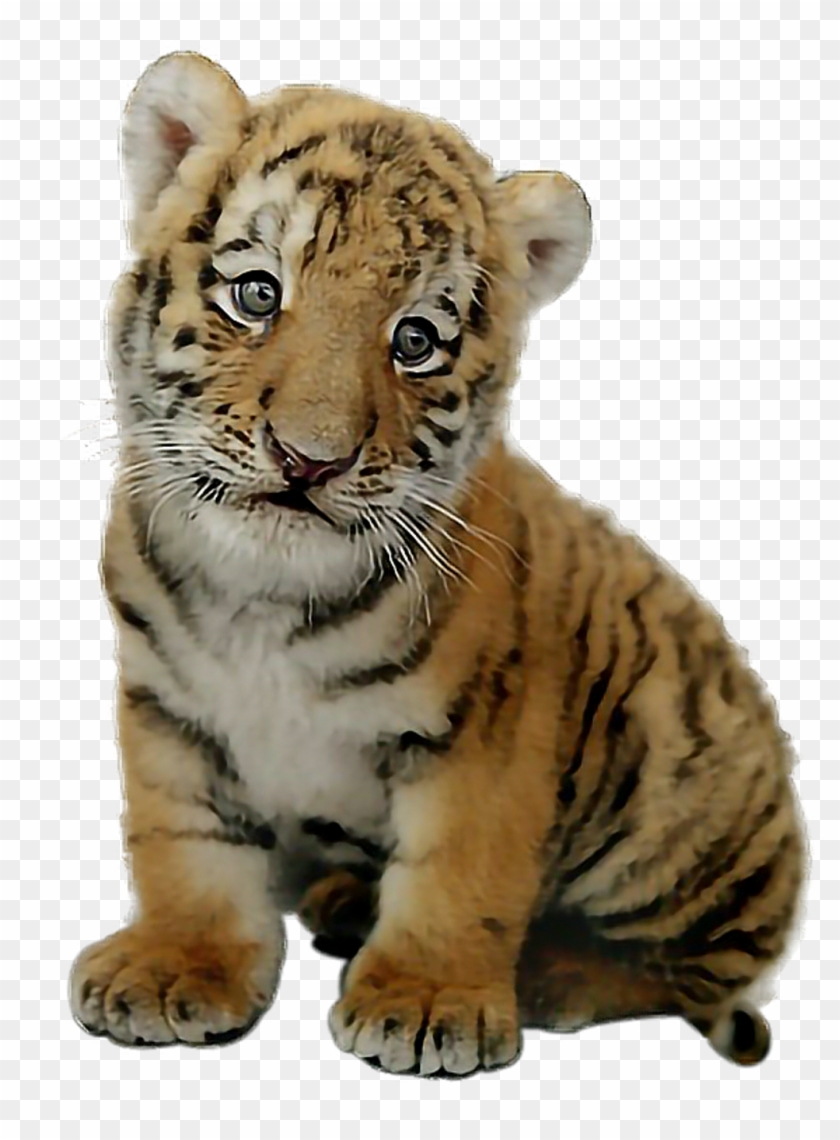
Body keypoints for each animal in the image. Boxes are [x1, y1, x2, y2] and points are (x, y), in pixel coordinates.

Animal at [69, 52, 805, 1074]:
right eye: (257, 294)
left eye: (414, 342)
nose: (309, 461)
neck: (267, 603)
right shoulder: (167, 706)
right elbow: (184, 843)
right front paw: (178, 963)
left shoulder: (490, 725)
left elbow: (460, 867)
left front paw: (426, 1001)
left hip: (675, 779)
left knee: (693, 970)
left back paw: (552, 975)